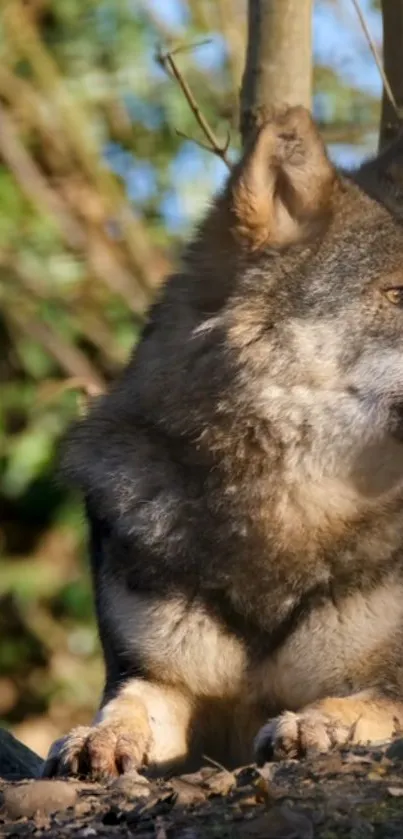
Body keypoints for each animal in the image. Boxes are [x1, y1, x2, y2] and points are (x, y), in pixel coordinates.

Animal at [43, 106, 403, 780]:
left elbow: (361, 702)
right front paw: (95, 739)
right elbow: (126, 706)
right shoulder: (162, 680)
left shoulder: (388, 677)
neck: (282, 512)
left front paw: (315, 725)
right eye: (396, 294)